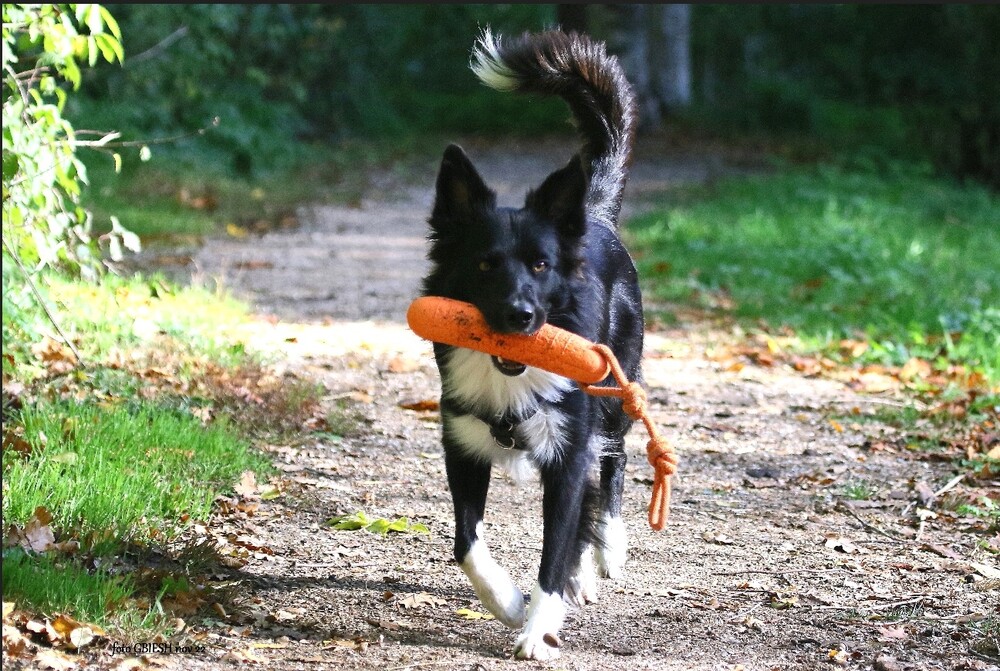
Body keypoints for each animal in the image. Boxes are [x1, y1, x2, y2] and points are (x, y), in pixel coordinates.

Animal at [419, 29, 642, 660]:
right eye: (484, 264)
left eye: (541, 266)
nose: (519, 317)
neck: (510, 378)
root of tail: (591, 215)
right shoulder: (462, 446)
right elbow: (467, 543)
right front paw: (510, 605)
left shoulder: (568, 454)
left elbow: (556, 548)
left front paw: (538, 627)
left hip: (616, 391)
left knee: (614, 463)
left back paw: (608, 550)